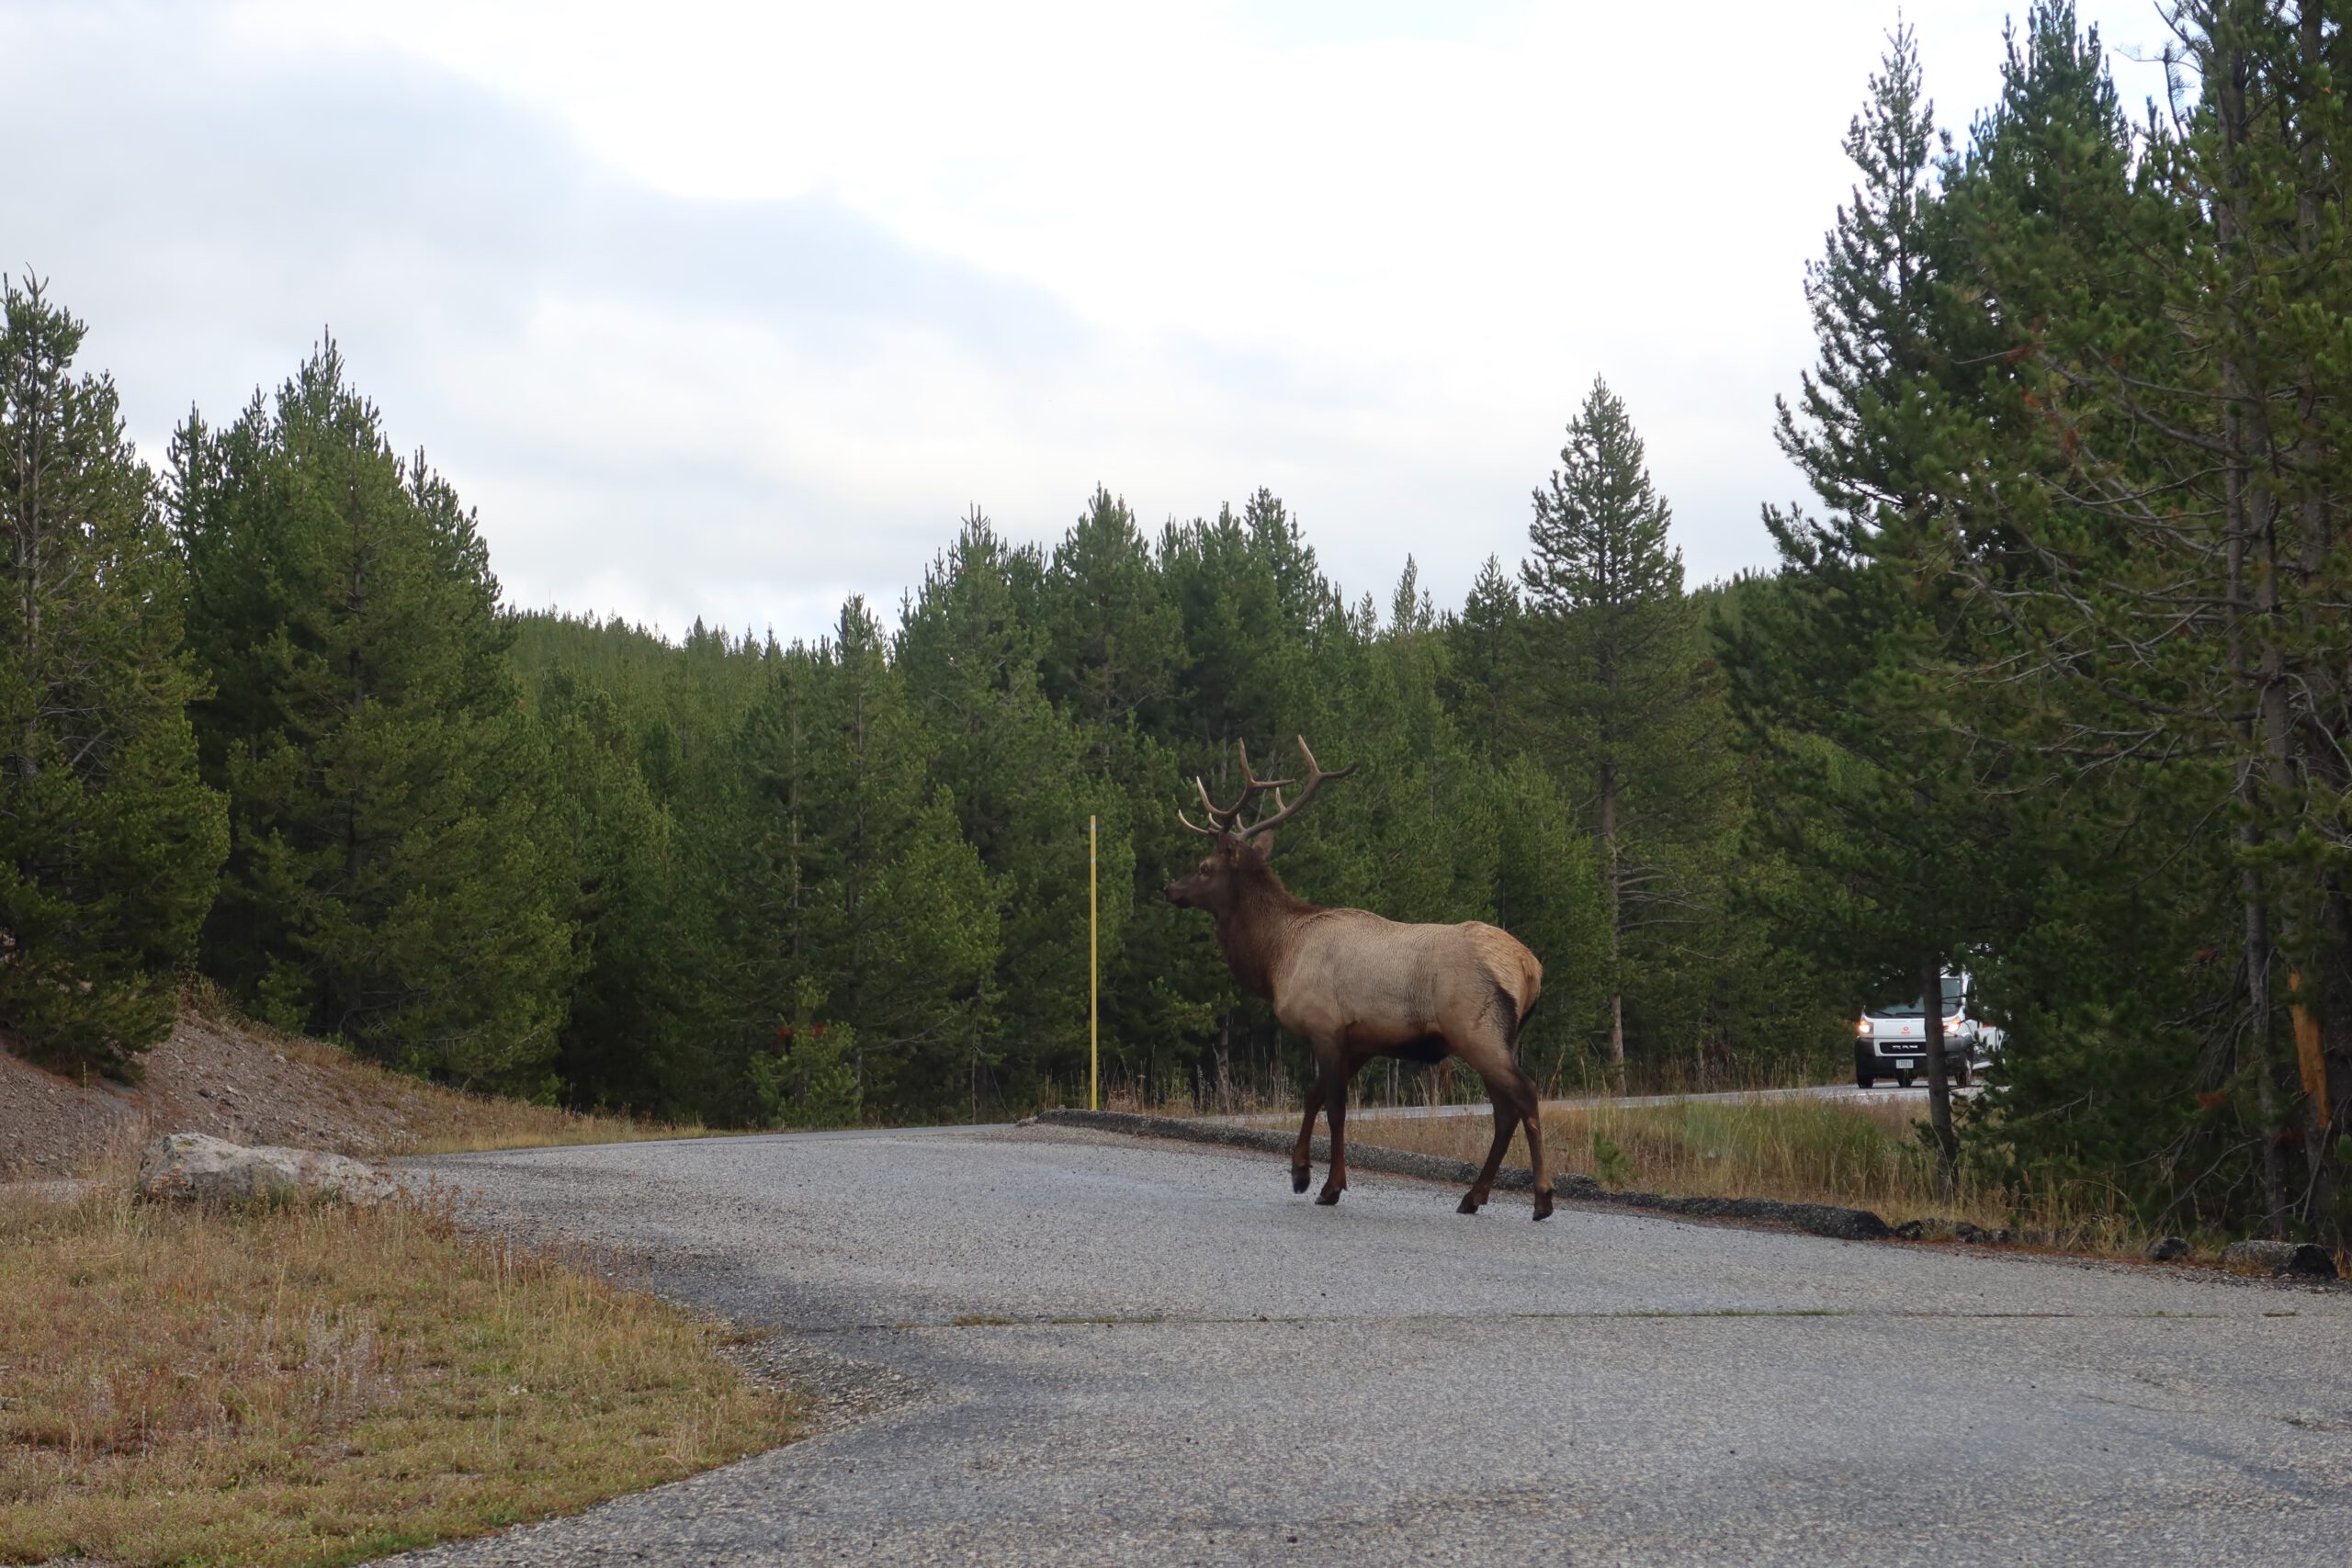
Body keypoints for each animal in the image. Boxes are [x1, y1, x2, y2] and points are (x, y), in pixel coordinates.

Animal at [1165, 736, 1554, 1220]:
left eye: (1203, 867)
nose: (1170, 889)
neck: (1277, 957)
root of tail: (1530, 967)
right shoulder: (1361, 1040)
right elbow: (1313, 1096)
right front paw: (1299, 1173)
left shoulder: (1325, 1026)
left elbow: (1335, 1107)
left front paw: (1329, 1185)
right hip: (1499, 1036)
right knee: (1504, 1109)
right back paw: (1473, 1196)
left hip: (1476, 1028)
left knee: (1526, 1094)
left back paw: (1542, 1198)